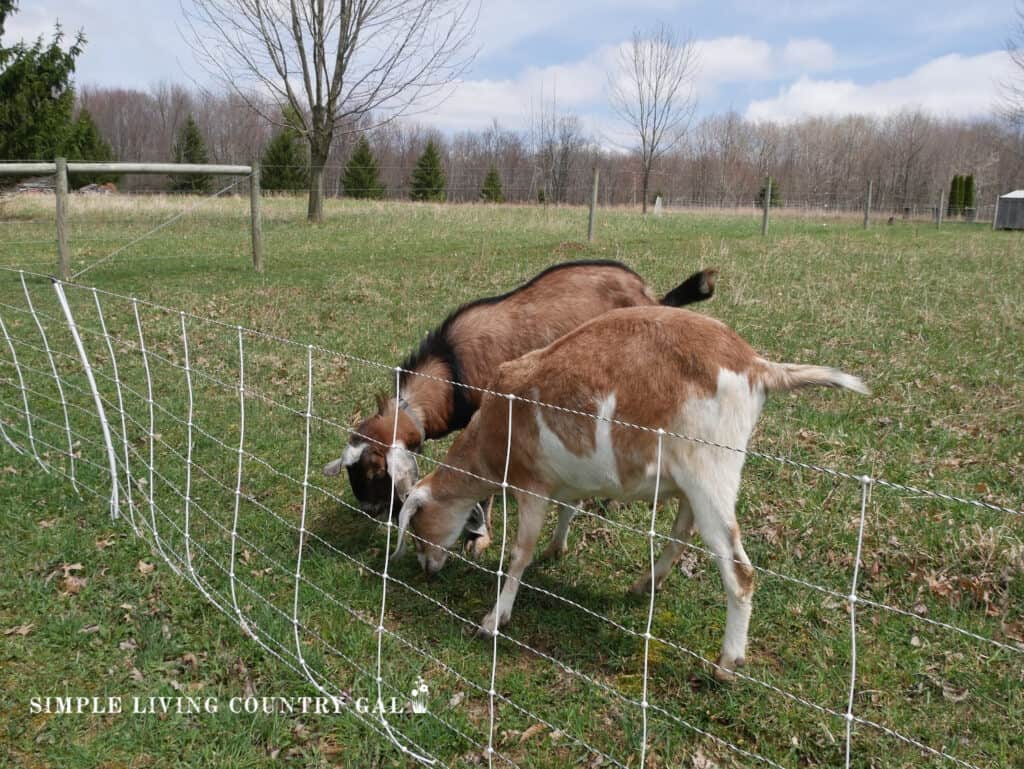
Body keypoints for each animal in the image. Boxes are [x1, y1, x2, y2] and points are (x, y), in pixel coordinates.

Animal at [395, 307, 868, 679]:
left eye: (416, 523)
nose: (426, 567)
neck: (495, 427)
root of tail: (755, 365)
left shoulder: (531, 484)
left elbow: (518, 555)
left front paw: (494, 619)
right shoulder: (568, 479)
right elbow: (570, 510)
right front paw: (556, 549)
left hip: (711, 469)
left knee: (739, 571)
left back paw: (727, 663)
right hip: (693, 479)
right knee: (682, 531)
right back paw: (645, 584)